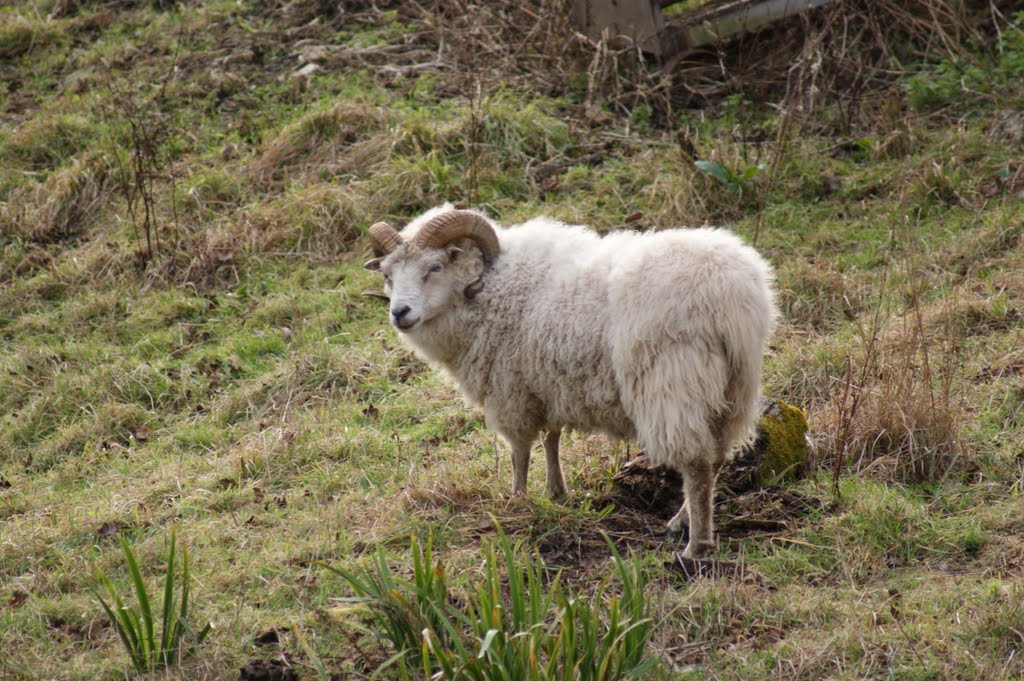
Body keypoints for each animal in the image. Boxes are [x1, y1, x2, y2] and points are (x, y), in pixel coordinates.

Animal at [364, 202, 770, 557]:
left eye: (434, 267)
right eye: (387, 275)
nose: (399, 313)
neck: (489, 285)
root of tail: (729, 294)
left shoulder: (509, 390)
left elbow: (520, 451)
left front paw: (517, 498)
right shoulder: (545, 381)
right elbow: (552, 438)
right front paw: (555, 492)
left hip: (672, 381)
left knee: (697, 462)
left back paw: (696, 544)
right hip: (735, 384)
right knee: (716, 456)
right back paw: (682, 521)